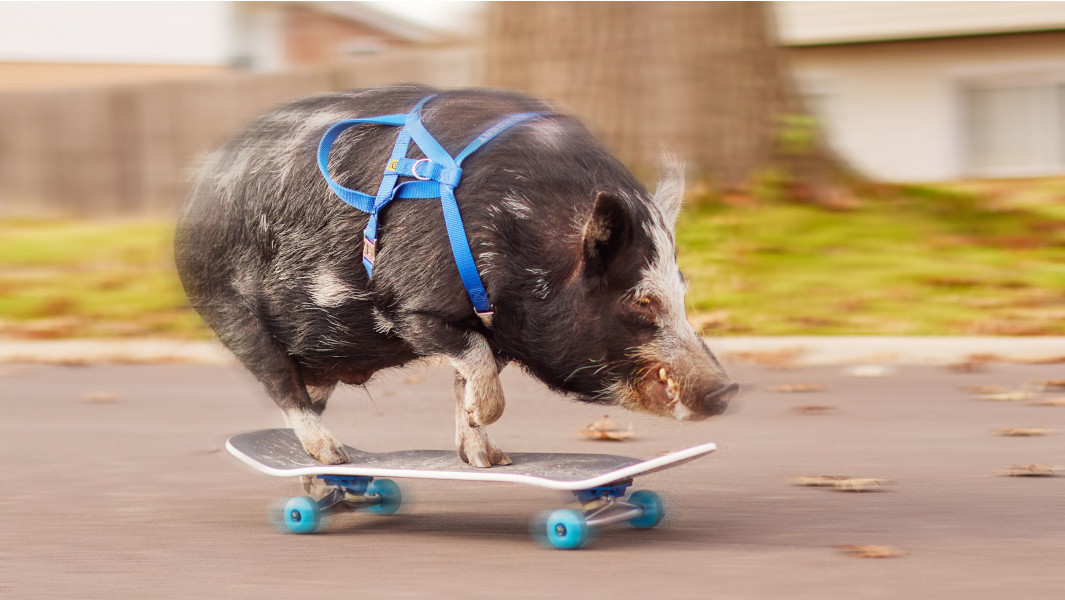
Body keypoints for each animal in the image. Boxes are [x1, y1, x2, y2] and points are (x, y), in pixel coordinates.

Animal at [175, 85, 737, 468]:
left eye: (682, 292)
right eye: (640, 300)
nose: (728, 389)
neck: (528, 234)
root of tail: (196, 191)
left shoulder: (495, 328)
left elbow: (468, 375)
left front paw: (492, 460)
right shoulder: (412, 306)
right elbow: (477, 365)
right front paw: (486, 425)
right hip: (228, 307)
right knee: (280, 383)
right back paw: (333, 457)